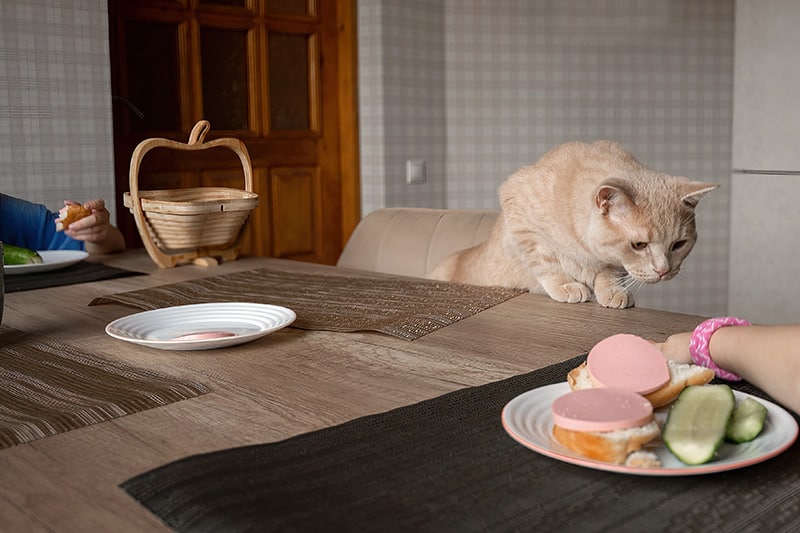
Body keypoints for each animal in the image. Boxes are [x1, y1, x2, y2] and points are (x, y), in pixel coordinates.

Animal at [428, 141, 720, 308]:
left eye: (679, 244)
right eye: (639, 245)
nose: (663, 271)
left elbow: (611, 269)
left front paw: (611, 290)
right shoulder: (518, 212)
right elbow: (545, 261)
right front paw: (566, 285)